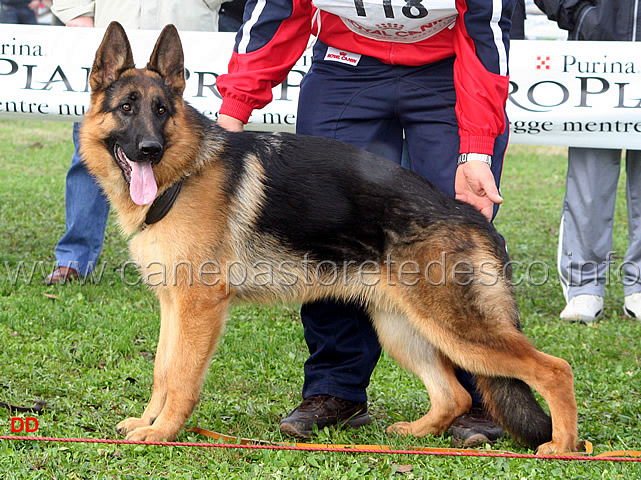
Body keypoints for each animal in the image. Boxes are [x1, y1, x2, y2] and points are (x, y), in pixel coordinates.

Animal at [80, 22, 580, 454]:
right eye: (126, 108)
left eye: (162, 111)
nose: (149, 150)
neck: (183, 173)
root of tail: (471, 215)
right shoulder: (174, 306)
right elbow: (162, 371)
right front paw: (149, 422)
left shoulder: (198, 307)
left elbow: (181, 378)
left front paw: (163, 432)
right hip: (403, 328)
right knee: (453, 394)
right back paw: (416, 433)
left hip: (460, 331)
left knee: (556, 369)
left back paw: (562, 447)